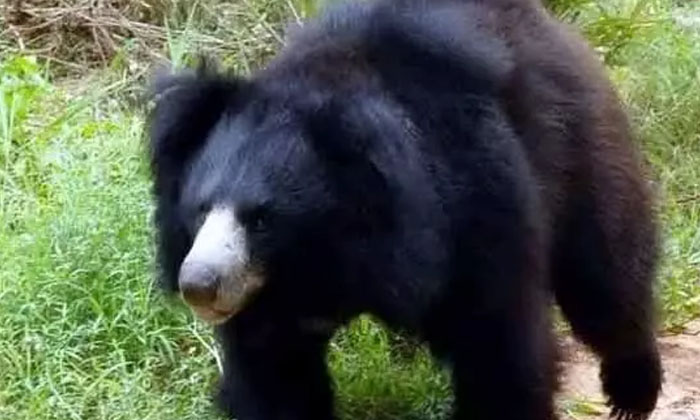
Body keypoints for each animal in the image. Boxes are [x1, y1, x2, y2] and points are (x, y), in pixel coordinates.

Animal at [146, 0, 660, 420]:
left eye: (261, 219)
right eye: (200, 211)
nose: (198, 284)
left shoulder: (479, 206)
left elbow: (499, 347)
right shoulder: (264, 296)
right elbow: (273, 373)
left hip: (576, 141)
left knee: (603, 272)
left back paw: (633, 391)